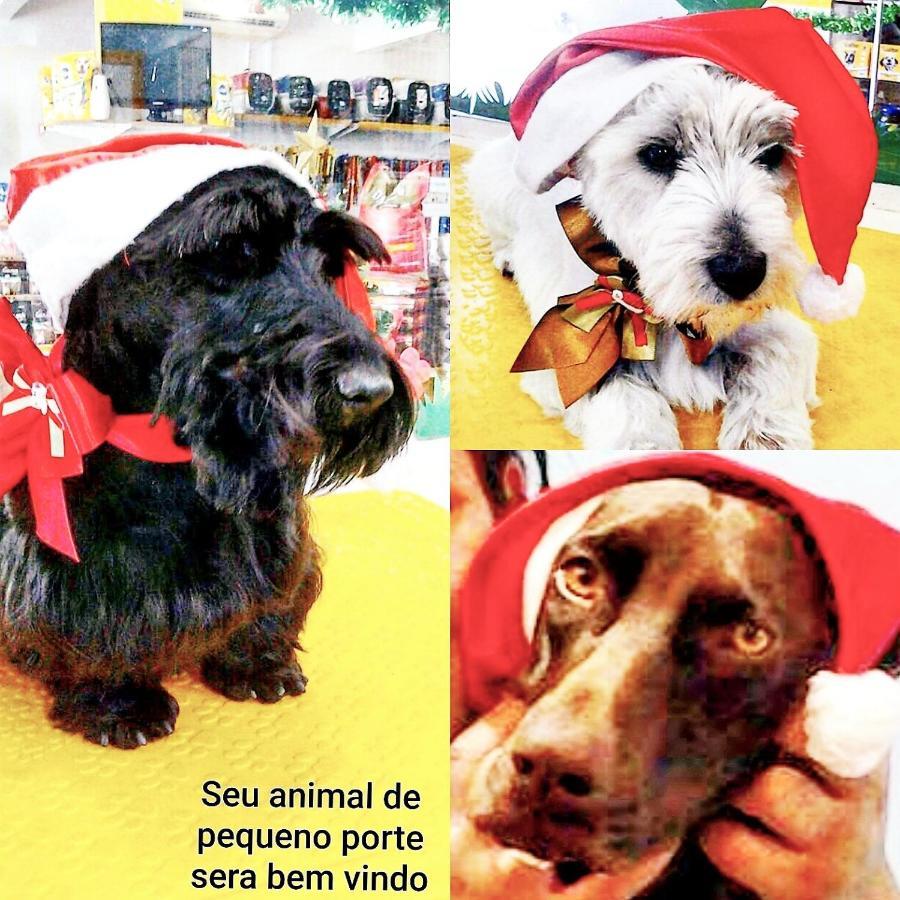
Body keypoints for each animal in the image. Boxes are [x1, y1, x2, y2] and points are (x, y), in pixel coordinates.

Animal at [0, 165, 414, 748]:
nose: (371, 390)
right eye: (233, 250)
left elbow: (267, 606)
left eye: (330, 262)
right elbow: (92, 635)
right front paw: (119, 703)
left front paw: (258, 663)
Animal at [468, 65, 820, 450]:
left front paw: (766, 440)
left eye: (772, 154)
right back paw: (507, 257)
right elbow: (629, 405)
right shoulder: (566, 351)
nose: (741, 272)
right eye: (658, 154)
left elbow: (777, 352)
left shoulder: (768, 326)